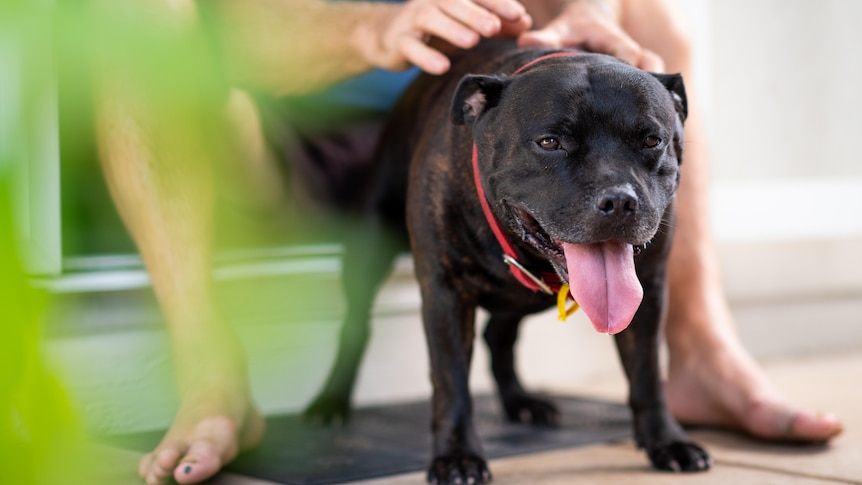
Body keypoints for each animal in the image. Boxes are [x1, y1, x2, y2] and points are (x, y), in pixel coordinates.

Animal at [308, 39, 712, 482]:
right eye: (550, 142)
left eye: (652, 141)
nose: (620, 201)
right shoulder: (446, 294)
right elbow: (451, 383)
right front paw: (457, 456)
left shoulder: (649, 291)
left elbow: (647, 373)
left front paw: (665, 441)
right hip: (369, 246)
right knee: (356, 325)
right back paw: (330, 402)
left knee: (498, 335)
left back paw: (521, 402)